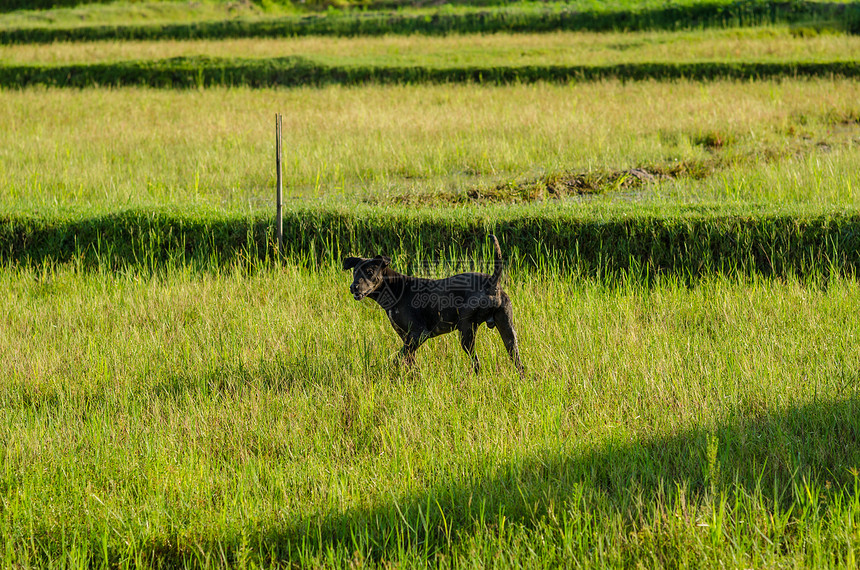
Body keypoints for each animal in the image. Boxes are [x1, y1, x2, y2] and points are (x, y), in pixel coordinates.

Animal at [344, 233, 524, 374]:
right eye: (355, 272)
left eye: (370, 272)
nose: (353, 287)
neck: (396, 289)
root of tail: (492, 282)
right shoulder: (407, 338)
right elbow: (409, 362)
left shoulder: (419, 334)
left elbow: (397, 359)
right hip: (508, 332)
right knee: (518, 364)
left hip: (467, 331)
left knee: (477, 364)